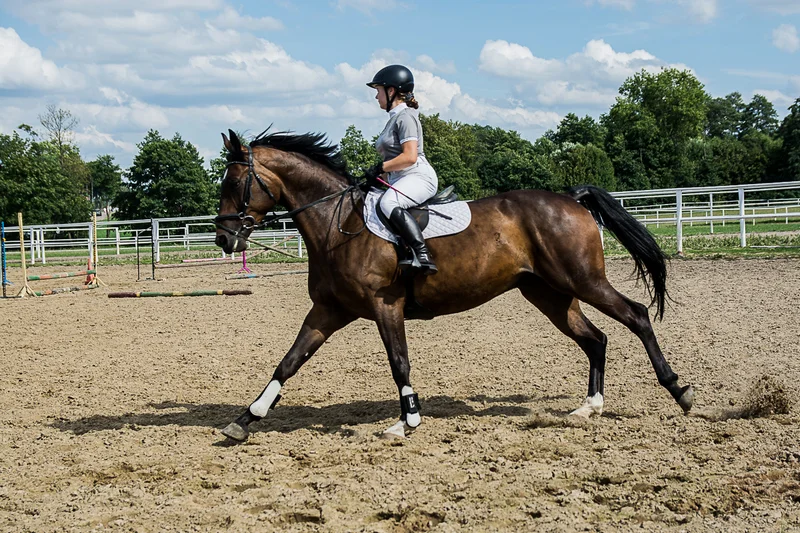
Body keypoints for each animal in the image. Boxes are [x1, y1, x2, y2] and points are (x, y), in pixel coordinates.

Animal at [214, 129, 692, 440]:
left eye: (234, 183)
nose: (223, 238)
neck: (339, 224)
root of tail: (570, 200)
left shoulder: (385, 306)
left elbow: (399, 363)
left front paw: (407, 421)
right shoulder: (329, 311)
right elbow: (288, 362)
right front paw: (247, 418)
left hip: (583, 280)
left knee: (636, 315)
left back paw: (679, 391)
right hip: (550, 294)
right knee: (596, 339)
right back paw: (588, 407)